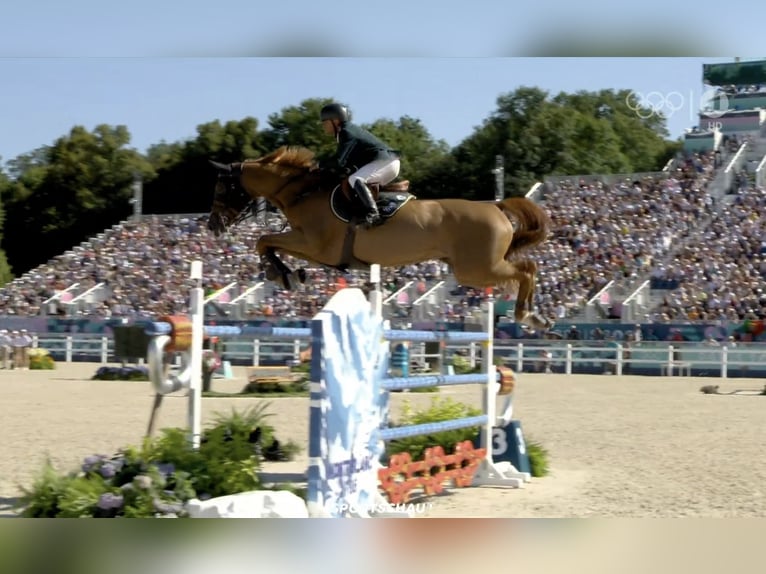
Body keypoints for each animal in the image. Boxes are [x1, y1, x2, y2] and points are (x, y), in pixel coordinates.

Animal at [207, 146, 556, 330]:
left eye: (222, 188)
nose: (212, 226)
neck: (300, 192)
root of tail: (495, 206)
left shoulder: (315, 245)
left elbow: (264, 240)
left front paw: (280, 274)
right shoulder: (318, 251)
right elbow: (269, 242)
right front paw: (290, 274)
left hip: (477, 269)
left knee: (527, 270)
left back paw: (528, 315)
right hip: (476, 269)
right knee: (529, 269)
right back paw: (535, 315)